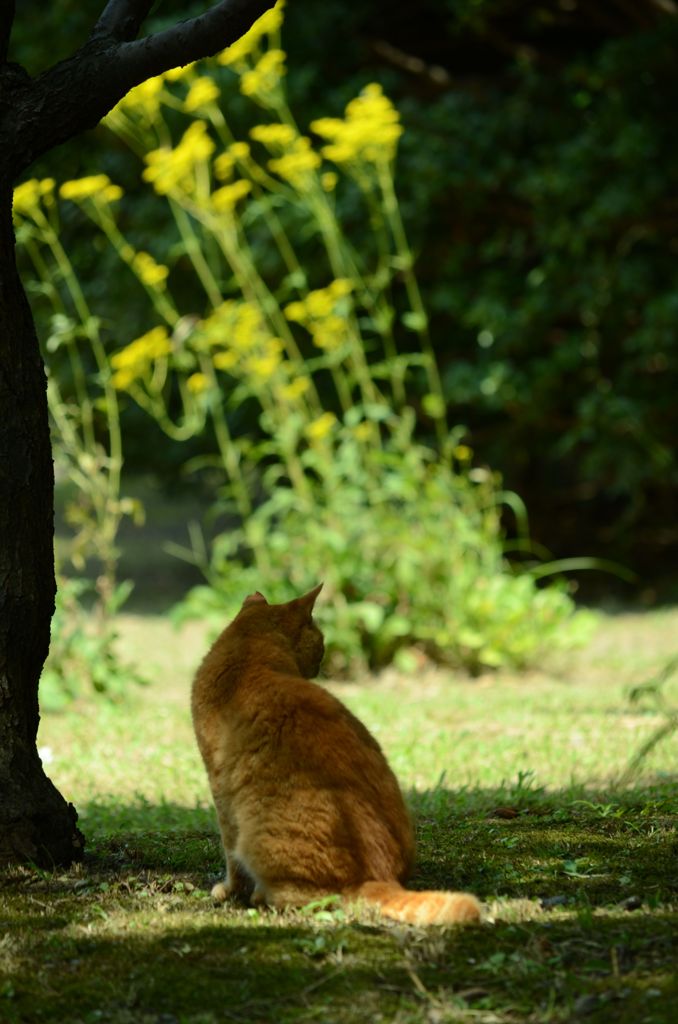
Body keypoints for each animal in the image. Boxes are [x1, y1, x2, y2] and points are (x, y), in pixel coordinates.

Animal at [188, 585, 481, 929]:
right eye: (322, 643)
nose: (320, 664)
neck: (248, 652)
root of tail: (379, 877)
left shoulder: (220, 788)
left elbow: (230, 853)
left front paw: (230, 890)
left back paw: (261, 897)